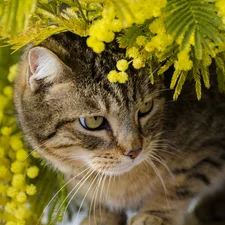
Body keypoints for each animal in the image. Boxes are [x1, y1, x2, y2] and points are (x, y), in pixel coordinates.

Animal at [13, 32, 225, 225]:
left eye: (146, 107)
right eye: (94, 121)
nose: (135, 151)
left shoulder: (209, 145)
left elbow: (178, 184)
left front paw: (154, 216)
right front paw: (101, 217)